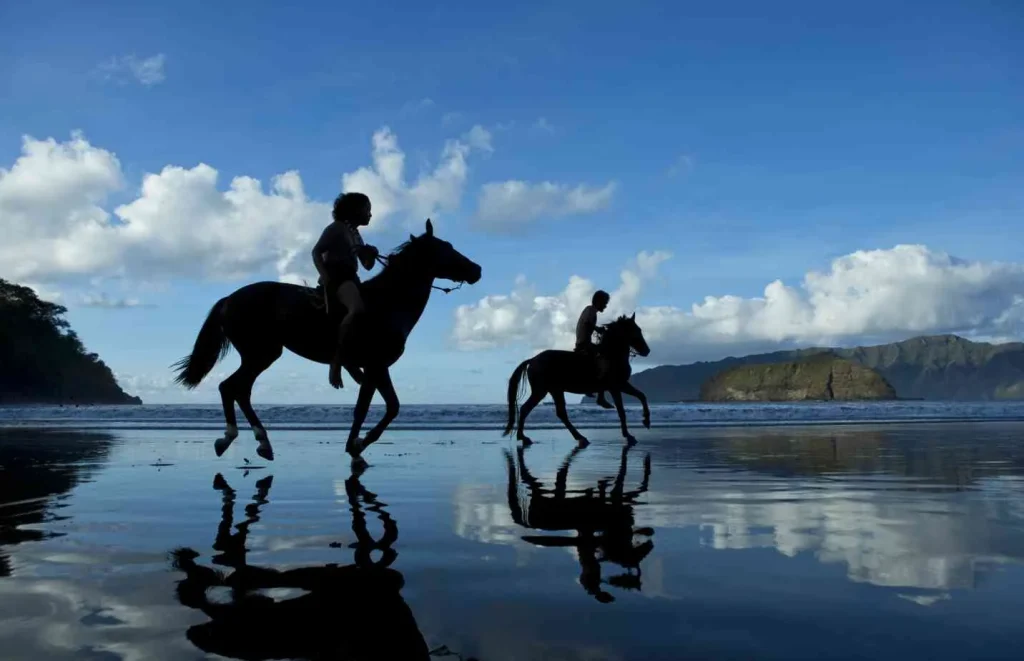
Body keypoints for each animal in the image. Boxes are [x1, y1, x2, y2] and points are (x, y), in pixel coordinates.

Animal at [174, 219, 481, 464]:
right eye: (445, 248)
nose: (476, 269)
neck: (388, 302)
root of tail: (230, 299)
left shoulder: (376, 368)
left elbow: (387, 407)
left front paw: (358, 444)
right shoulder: (375, 365)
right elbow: (367, 409)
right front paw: (357, 445)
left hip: (261, 355)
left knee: (239, 390)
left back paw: (260, 443)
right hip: (260, 354)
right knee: (231, 388)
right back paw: (235, 438)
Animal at [505, 313, 655, 448]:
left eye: (639, 330)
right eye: (635, 331)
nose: (647, 350)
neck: (612, 355)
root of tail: (532, 360)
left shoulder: (622, 385)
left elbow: (642, 396)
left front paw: (646, 421)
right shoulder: (615, 387)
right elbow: (622, 411)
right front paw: (629, 435)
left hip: (554, 390)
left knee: (558, 413)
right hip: (542, 391)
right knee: (528, 409)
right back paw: (525, 437)